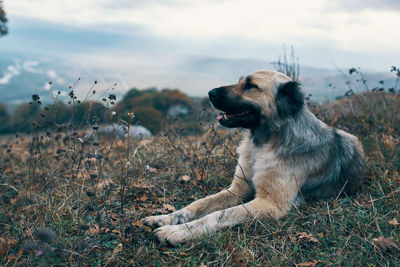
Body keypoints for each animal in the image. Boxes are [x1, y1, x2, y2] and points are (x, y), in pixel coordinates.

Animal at [143, 70, 366, 247]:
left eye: (251, 86)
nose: (210, 93)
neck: (264, 144)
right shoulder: (237, 189)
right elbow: (199, 204)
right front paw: (165, 218)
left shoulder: (270, 203)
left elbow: (220, 214)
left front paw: (178, 232)